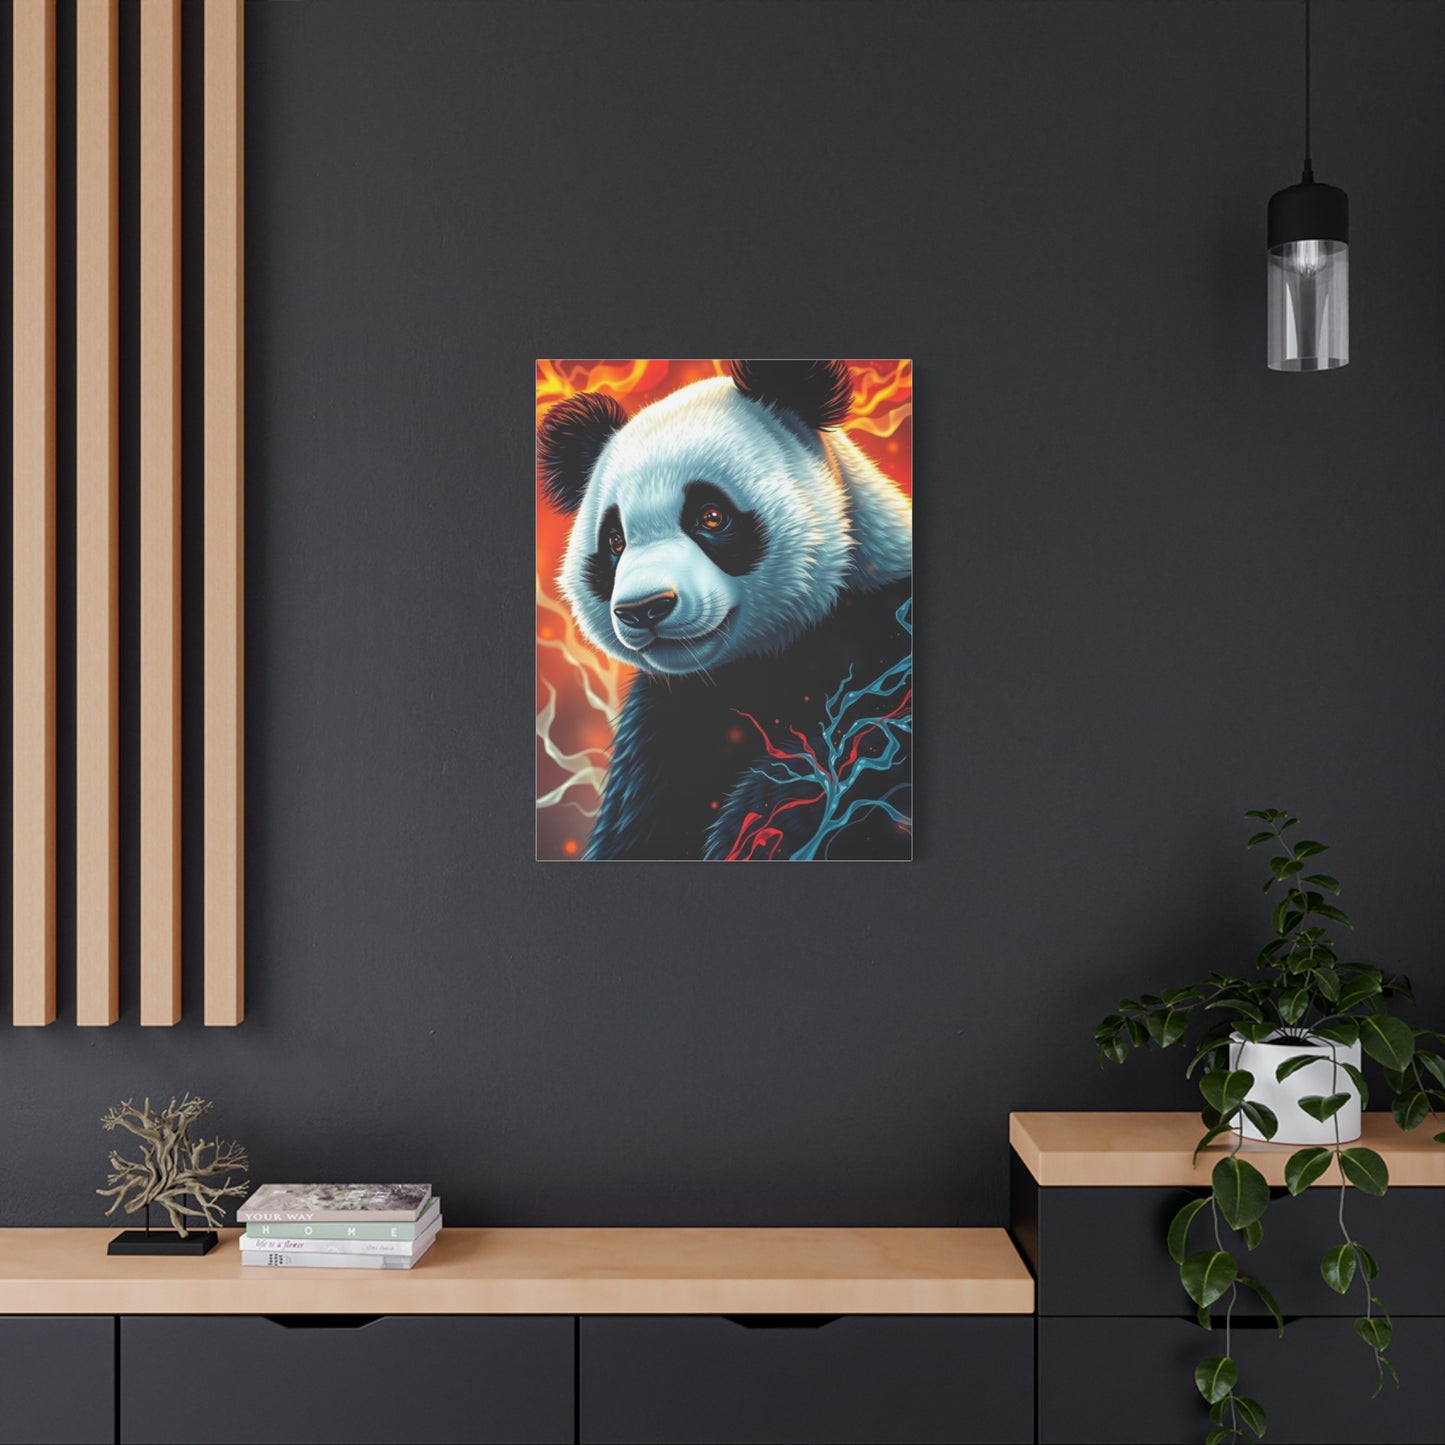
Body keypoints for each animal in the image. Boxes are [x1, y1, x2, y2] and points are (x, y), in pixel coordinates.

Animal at [539, 359, 912, 860]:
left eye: (711, 516)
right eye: (614, 541)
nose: (644, 609)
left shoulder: (884, 640)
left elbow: (859, 763)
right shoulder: (665, 724)